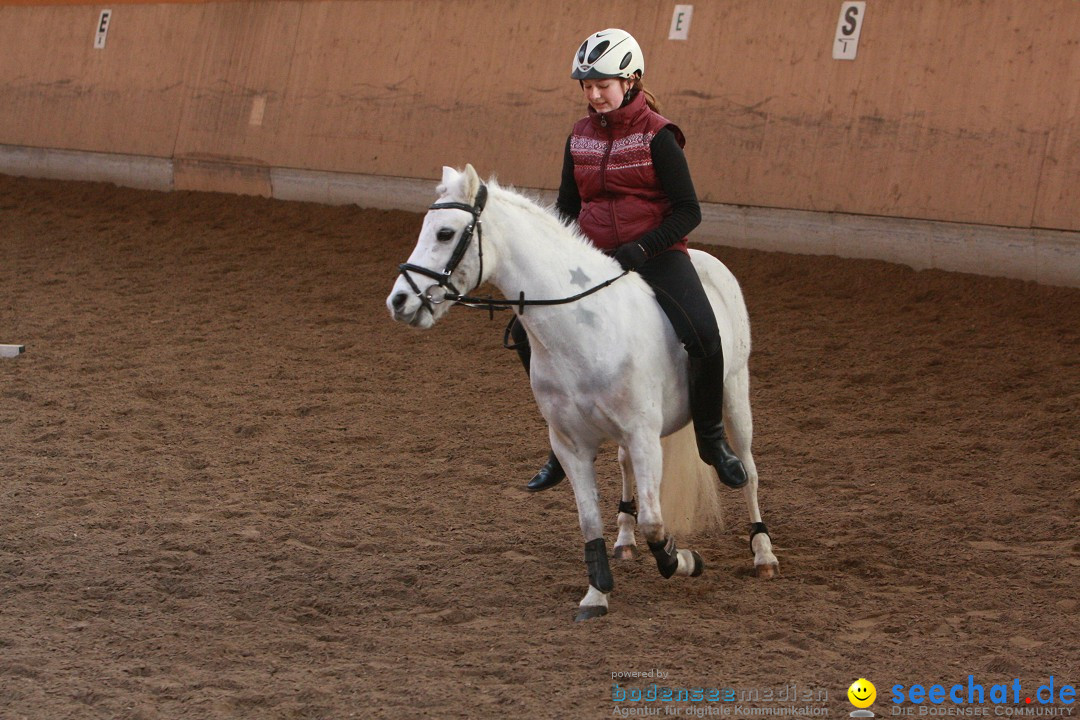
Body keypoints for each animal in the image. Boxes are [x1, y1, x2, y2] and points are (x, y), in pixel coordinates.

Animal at [388, 162, 777, 621]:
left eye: (446, 234)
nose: (398, 302)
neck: (583, 325)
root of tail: (704, 258)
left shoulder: (645, 438)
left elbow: (655, 522)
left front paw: (682, 560)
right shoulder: (571, 444)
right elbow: (590, 521)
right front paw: (597, 593)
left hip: (734, 394)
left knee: (748, 469)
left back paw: (763, 552)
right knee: (626, 471)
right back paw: (624, 539)